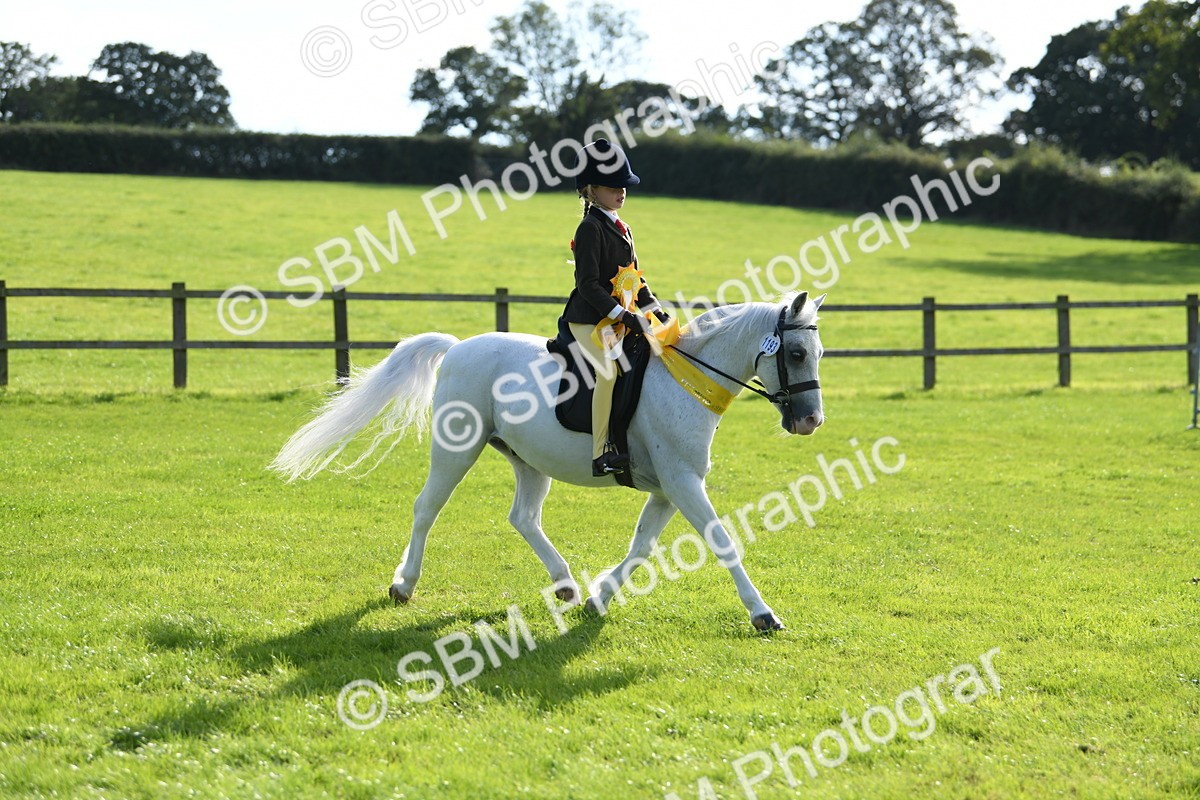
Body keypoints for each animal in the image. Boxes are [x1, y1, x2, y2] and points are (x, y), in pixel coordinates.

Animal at [270, 291, 826, 631]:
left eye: (818, 352)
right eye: (796, 353)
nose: (810, 421)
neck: (684, 379)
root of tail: (458, 348)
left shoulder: (670, 488)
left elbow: (642, 546)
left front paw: (601, 596)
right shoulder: (684, 483)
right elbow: (722, 540)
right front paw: (763, 615)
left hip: (527, 459)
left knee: (523, 516)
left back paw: (565, 584)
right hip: (456, 449)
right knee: (426, 508)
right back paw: (404, 584)